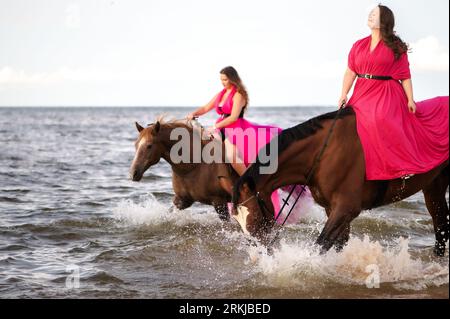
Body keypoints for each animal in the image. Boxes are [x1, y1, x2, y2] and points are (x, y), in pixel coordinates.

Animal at [230, 107, 448, 258]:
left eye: (255, 218)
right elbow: (338, 245)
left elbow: (321, 245)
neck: (323, 154)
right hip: (434, 186)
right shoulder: (333, 210)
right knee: (440, 223)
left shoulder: (346, 209)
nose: (263, 252)